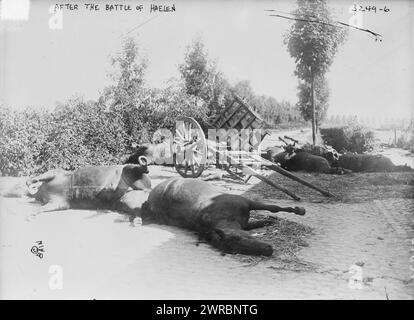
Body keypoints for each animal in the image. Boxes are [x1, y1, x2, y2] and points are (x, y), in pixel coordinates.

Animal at [141, 176, 306, 256]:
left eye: (239, 238)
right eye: (234, 250)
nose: (268, 250)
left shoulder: (248, 204)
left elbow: (273, 208)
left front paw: (297, 211)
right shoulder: (244, 221)